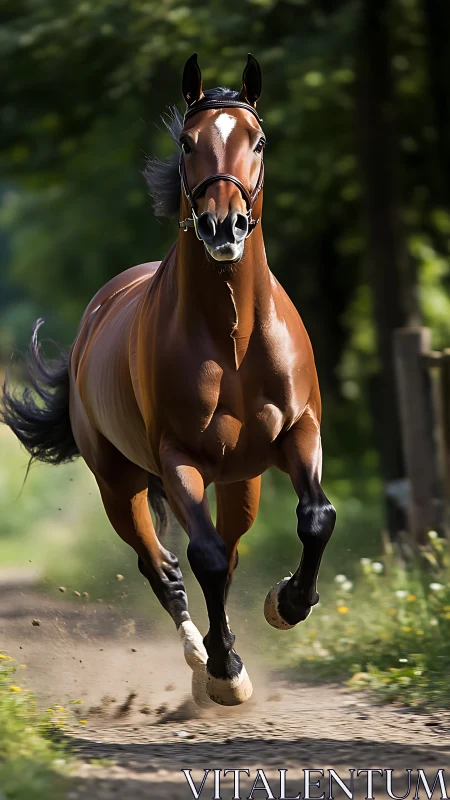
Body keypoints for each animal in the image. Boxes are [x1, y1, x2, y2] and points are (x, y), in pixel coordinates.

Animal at [1, 53, 336, 707]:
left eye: (258, 140)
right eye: (187, 141)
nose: (223, 227)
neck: (233, 337)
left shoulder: (299, 431)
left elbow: (315, 518)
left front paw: (287, 604)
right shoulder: (179, 458)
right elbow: (202, 557)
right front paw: (225, 671)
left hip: (242, 481)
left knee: (230, 551)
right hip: (119, 484)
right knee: (164, 568)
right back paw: (200, 659)